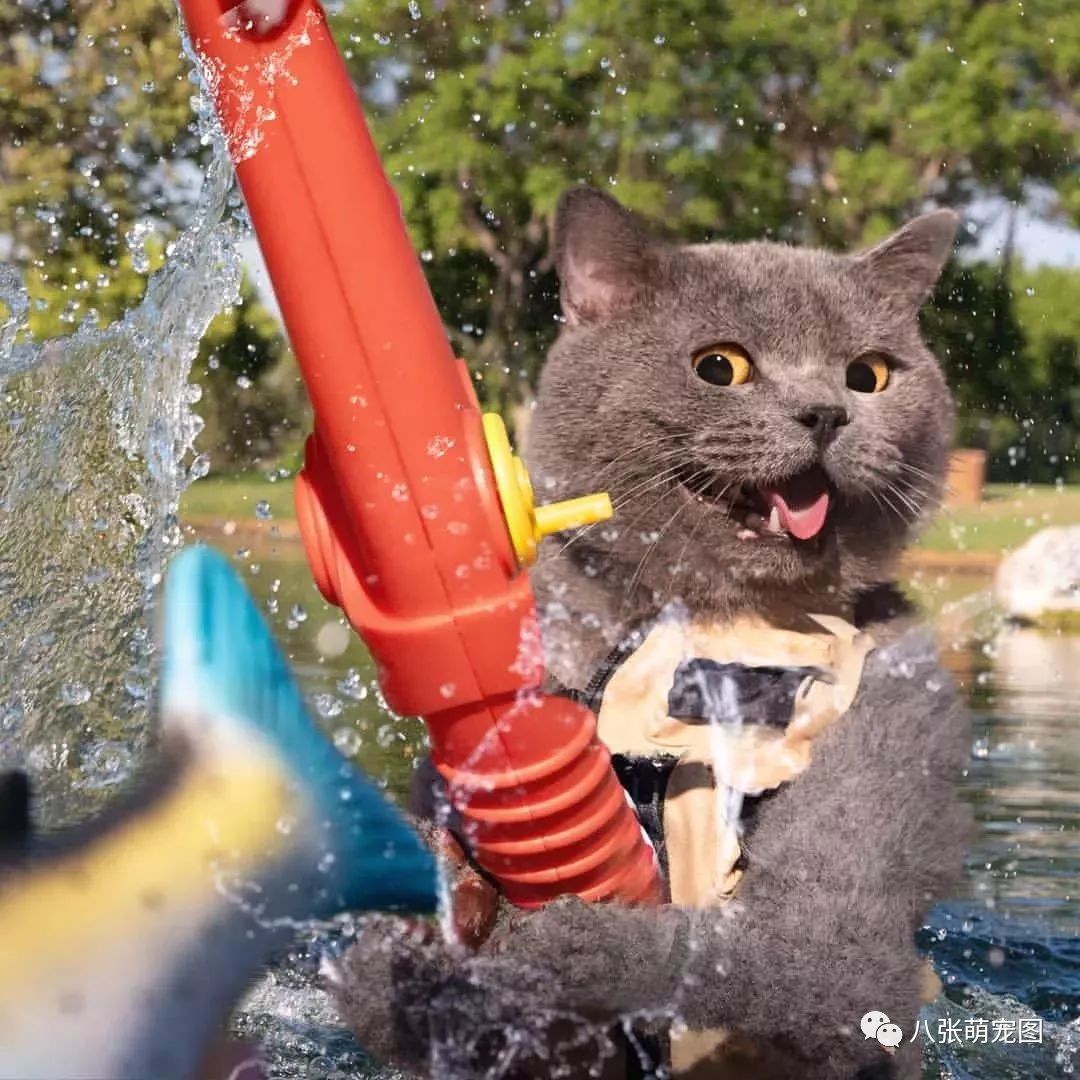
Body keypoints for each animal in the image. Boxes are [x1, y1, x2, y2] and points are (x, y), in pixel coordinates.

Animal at [332, 187, 976, 1080]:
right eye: (720, 366)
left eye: (870, 375)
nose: (827, 411)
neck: (716, 628)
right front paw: (434, 912)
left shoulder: (901, 730)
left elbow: (786, 954)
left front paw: (574, 943)